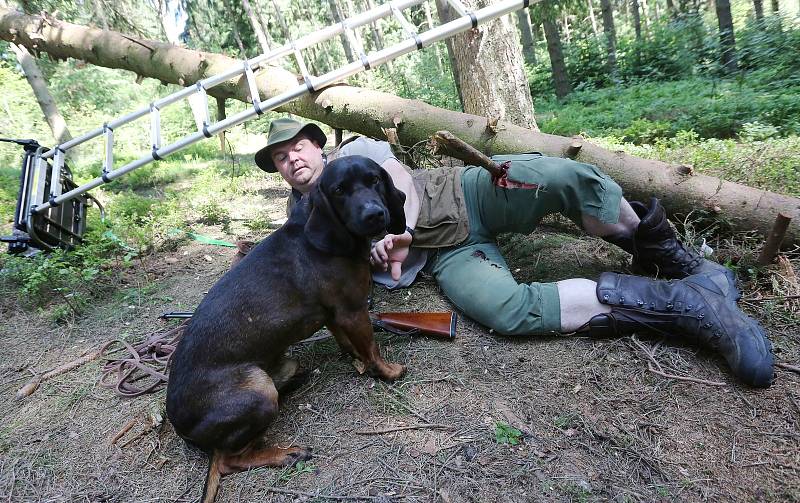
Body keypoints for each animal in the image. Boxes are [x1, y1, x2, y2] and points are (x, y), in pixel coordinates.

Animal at [166, 156, 410, 502]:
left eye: (374, 179)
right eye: (339, 190)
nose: (374, 214)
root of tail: (183, 429)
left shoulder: (334, 315)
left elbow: (350, 344)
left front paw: (355, 360)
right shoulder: (353, 311)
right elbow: (372, 348)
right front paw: (387, 371)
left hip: (279, 369)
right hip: (259, 390)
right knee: (229, 461)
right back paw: (286, 453)